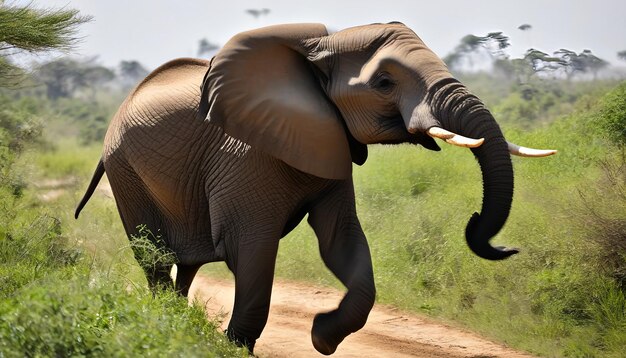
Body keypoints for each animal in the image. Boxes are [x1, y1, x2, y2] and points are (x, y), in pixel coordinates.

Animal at [75, 23, 552, 356]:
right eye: (385, 83)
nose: (482, 230)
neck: (323, 48)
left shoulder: (331, 142)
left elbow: (341, 240)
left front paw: (321, 335)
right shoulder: (244, 154)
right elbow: (250, 248)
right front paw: (236, 349)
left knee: (185, 266)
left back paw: (177, 322)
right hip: (125, 170)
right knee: (155, 260)